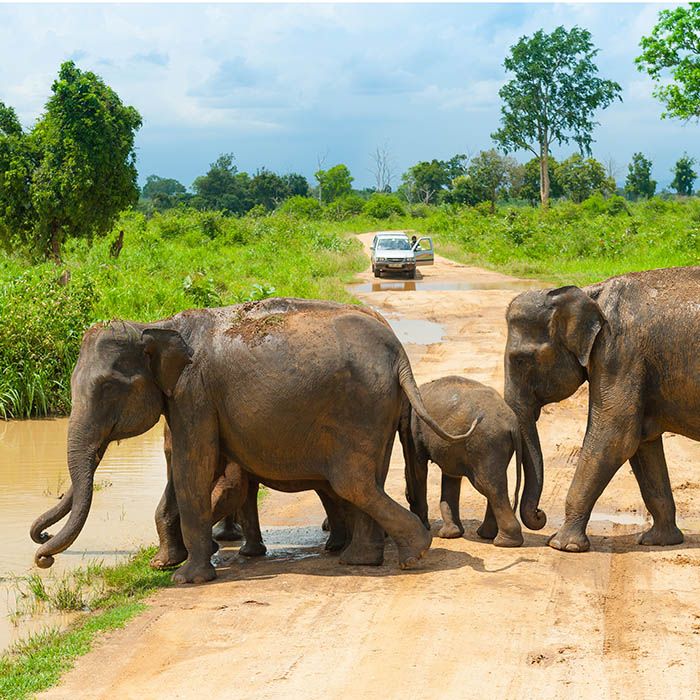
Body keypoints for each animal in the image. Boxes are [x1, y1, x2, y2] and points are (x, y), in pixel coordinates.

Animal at [30, 298, 478, 584]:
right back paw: (361, 560)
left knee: (353, 482)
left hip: (361, 406)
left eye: (107, 389)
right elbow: (184, 466)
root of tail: (399, 354)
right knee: (366, 481)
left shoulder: (194, 392)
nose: (42, 554)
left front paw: (186, 578)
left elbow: (194, 467)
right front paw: (163, 565)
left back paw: (412, 554)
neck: (154, 325)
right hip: (377, 408)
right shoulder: (189, 400)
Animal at [402, 378, 524, 548]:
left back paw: (504, 542)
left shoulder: (414, 432)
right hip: (497, 445)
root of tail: (513, 424)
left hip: (486, 443)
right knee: (494, 483)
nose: (407, 494)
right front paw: (451, 534)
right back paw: (488, 535)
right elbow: (450, 476)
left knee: (489, 486)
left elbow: (418, 467)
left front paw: (428, 527)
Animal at [504, 266, 700, 552]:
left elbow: (616, 437)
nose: (540, 515)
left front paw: (563, 546)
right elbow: (642, 443)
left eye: (520, 360)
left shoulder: (619, 352)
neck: (587, 293)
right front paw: (657, 541)